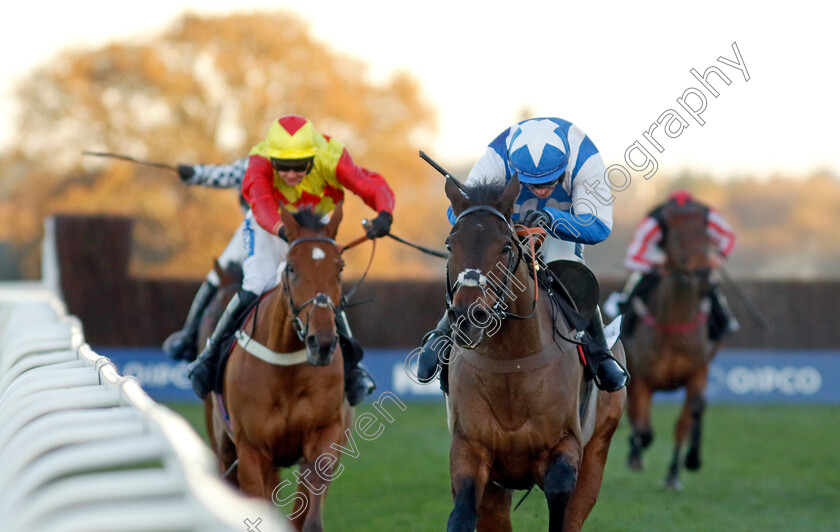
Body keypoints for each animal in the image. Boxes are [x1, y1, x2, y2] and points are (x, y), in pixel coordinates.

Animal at [201, 205, 352, 532]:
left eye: (340, 267)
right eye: (292, 268)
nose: (321, 342)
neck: (286, 371)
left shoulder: (325, 435)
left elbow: (309, 516)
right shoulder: (251, 451)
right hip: (225, 448)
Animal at [442, 177, 628, 528]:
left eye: (505, 247)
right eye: (450, 245)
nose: (467, 318)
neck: (511, 365)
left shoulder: (565, 446)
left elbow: (560, 500)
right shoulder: (469, 447)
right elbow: (462, 514)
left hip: (599, 447)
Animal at [620, 200, 720, 490]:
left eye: (705, 234)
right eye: (677, 236)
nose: (702, 271)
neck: (675, 325)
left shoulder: (698, 371)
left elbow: (688, 418)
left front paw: (687, 463)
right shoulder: (641, 377)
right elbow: (642, 427)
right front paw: (636, 451)